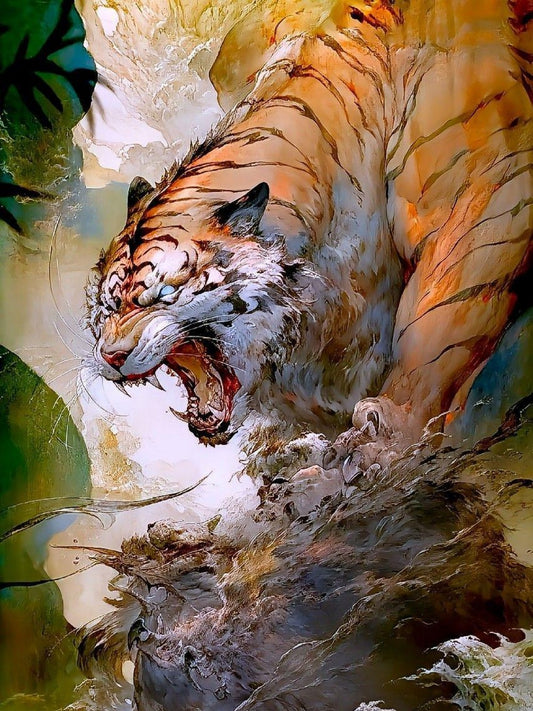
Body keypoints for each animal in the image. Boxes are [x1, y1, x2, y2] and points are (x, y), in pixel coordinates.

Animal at [87, 0, 533, 469]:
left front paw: (387, 433)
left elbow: (439, 325)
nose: (110, 356)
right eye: (110, 304)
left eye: (164, 295)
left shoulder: (489, 191)